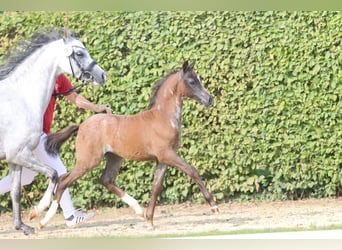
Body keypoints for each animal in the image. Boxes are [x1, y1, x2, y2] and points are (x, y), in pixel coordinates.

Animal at [0, 28, 106, 235]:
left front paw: (22, 226)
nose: (102, 75)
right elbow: (54, 174)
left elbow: (15, 191)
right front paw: (37, 210)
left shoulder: (15, 159)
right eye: (79, 53)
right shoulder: (19, 154)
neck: (21, 98)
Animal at [38, 61, 219, 229]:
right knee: (63, 181)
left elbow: (156, 187)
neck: (163, 117)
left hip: (114, 158)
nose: (210, 99)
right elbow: (193, 171)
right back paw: (42, 220)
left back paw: (138, 210)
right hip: (88, 161)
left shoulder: (162, 159)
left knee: (105, 180)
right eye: (192, 81)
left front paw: (149, 221)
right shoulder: (167, 154)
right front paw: (214, 206)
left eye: (199, 79)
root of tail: (81, 125)